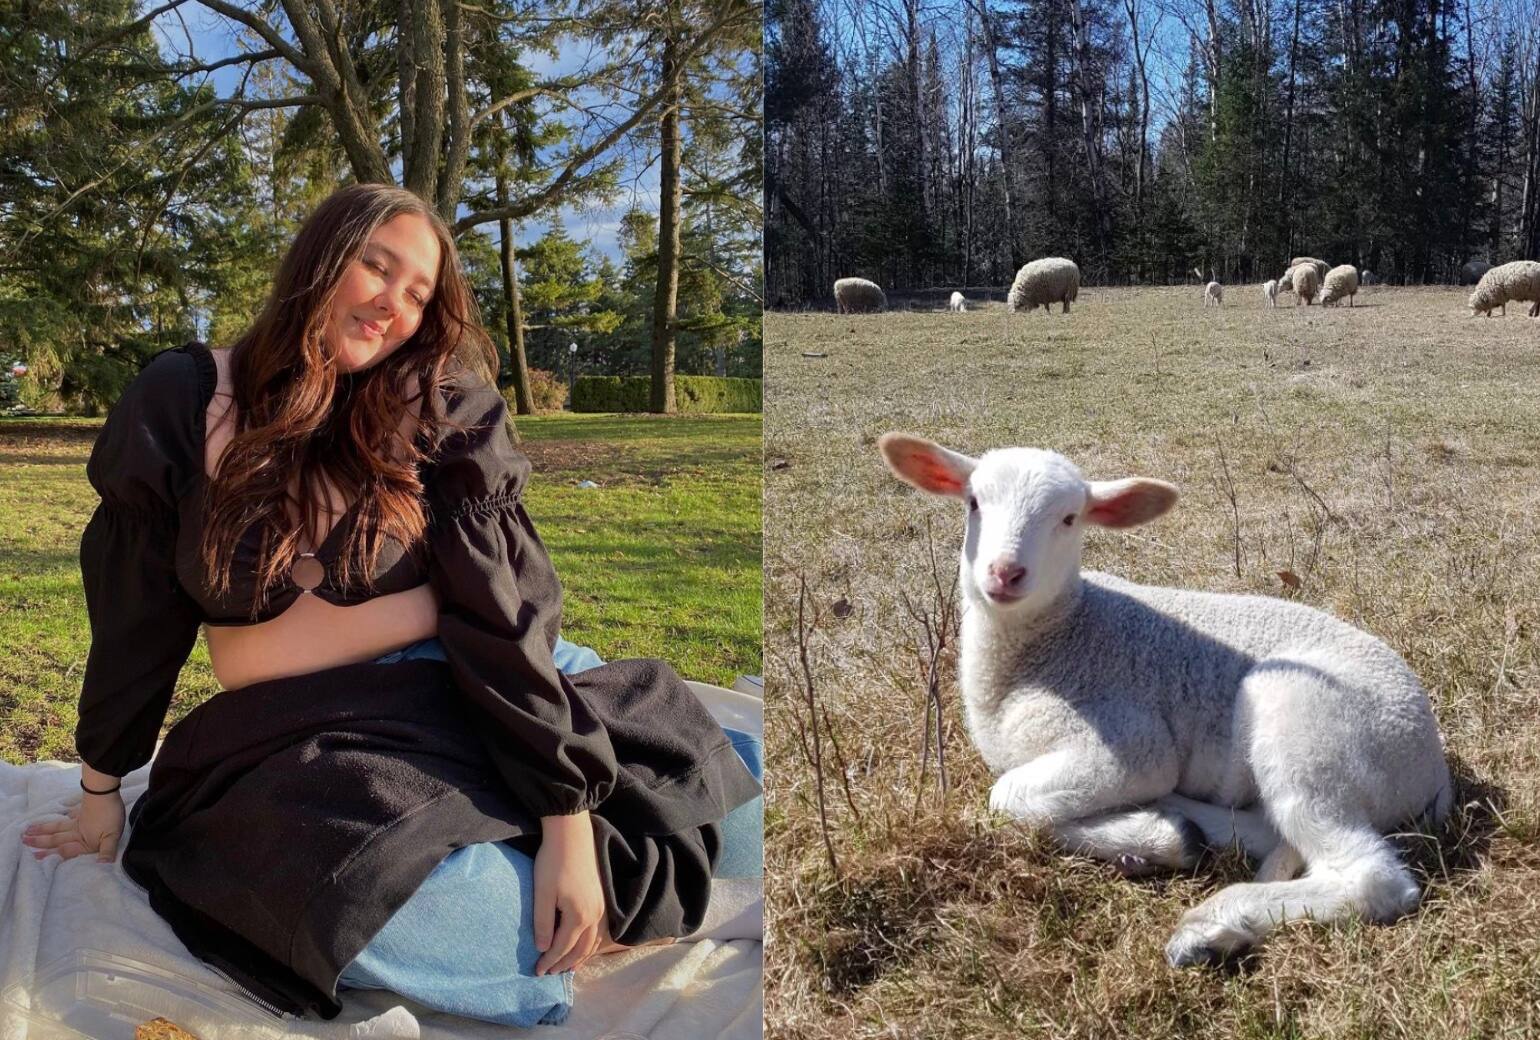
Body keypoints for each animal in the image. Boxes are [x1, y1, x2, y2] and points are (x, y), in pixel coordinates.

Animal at [877, 433, 1450, 969]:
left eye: (1068, 518)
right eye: (973, 501)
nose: (1004, 572)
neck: (1060, 637)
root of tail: (1431, 764)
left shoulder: (1128, 743)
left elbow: (1005, 799)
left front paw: (1148, 835)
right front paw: (1156, 836)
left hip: (1306, 722)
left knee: (1370, 876)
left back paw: (1212, 925)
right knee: (1275, 831)